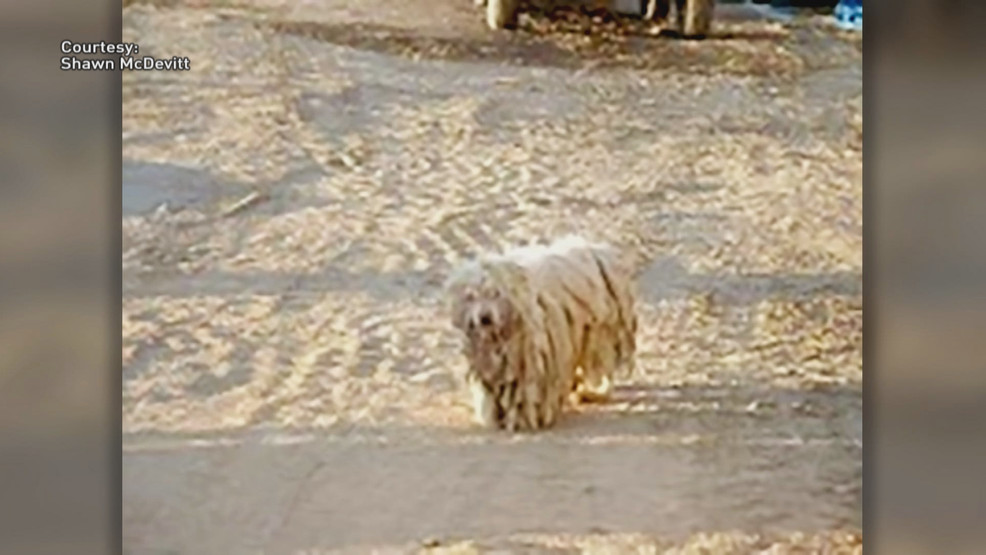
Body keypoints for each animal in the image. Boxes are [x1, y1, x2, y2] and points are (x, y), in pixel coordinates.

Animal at [444, 235, 636, 430]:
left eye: (495, 294)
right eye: (471, 297)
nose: (485, 318)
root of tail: (597, 249)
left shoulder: (532, 357)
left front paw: (527, 416)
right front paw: (493, 414)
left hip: (599, 332)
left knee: (601, 364)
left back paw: (594, 391)